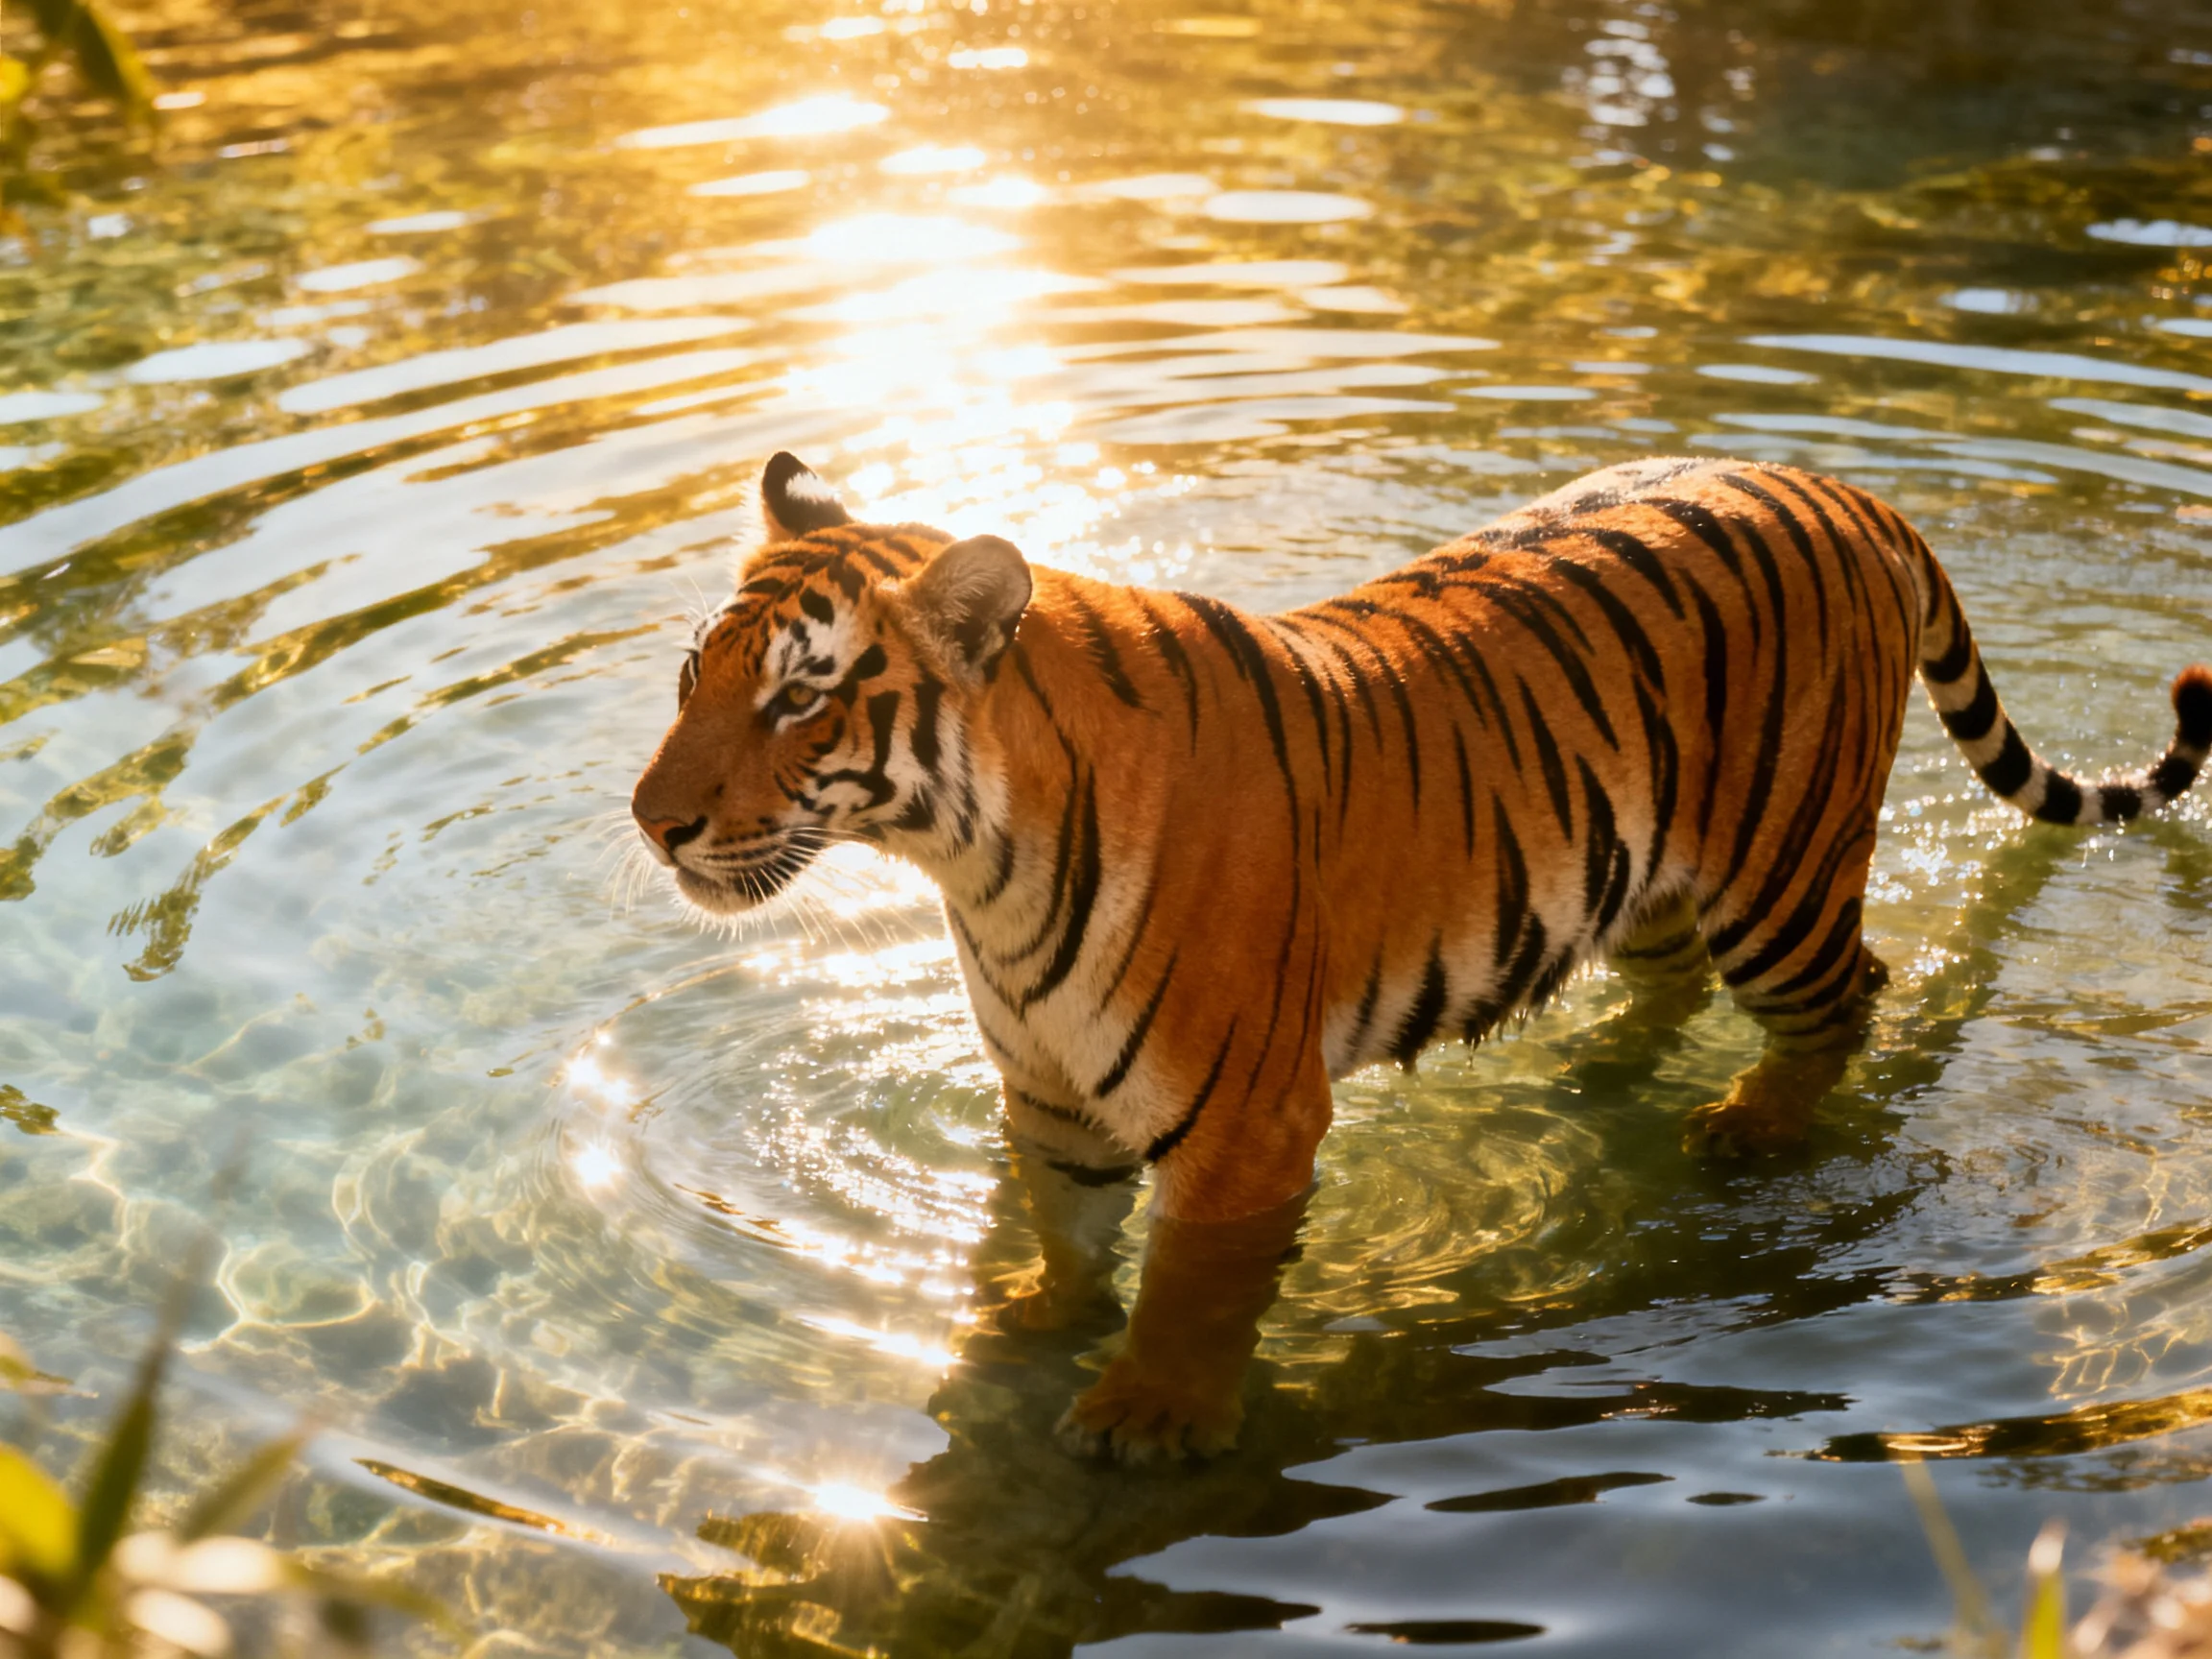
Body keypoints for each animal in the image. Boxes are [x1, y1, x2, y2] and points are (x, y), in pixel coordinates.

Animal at [631, 449, 2212, 1461]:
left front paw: (1150, 1417)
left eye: (799, 702)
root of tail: (1855, 490)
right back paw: (1596, 1079)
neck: (977, 867)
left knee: (1847, 1002)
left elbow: (1195, 1289)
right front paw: (1030, 1323)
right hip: (1635, 868)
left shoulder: (1248, 1124)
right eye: (694, 676)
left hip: (1782, 872)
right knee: (1667, 981)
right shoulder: (1053, 1095)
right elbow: (1065, 1233)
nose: (653, 822)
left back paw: (1750, 1131)